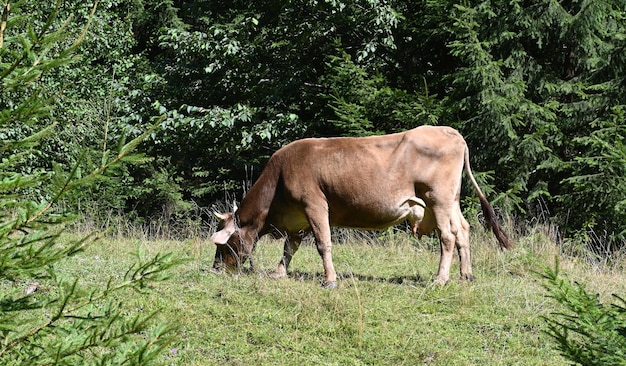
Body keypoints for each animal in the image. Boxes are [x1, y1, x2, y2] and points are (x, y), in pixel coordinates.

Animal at [210, 126, 512, 288]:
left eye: (222, 245)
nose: (215, 269)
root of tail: (449, 131)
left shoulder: (314, 204)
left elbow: (323, 243)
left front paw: (330, 280)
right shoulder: (298, 219)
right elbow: (290, 247)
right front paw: (279, 272)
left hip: (437, 198)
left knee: (447, 236)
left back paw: (440, 278)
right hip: (452, 200)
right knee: (463, 230)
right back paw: (466, 274)